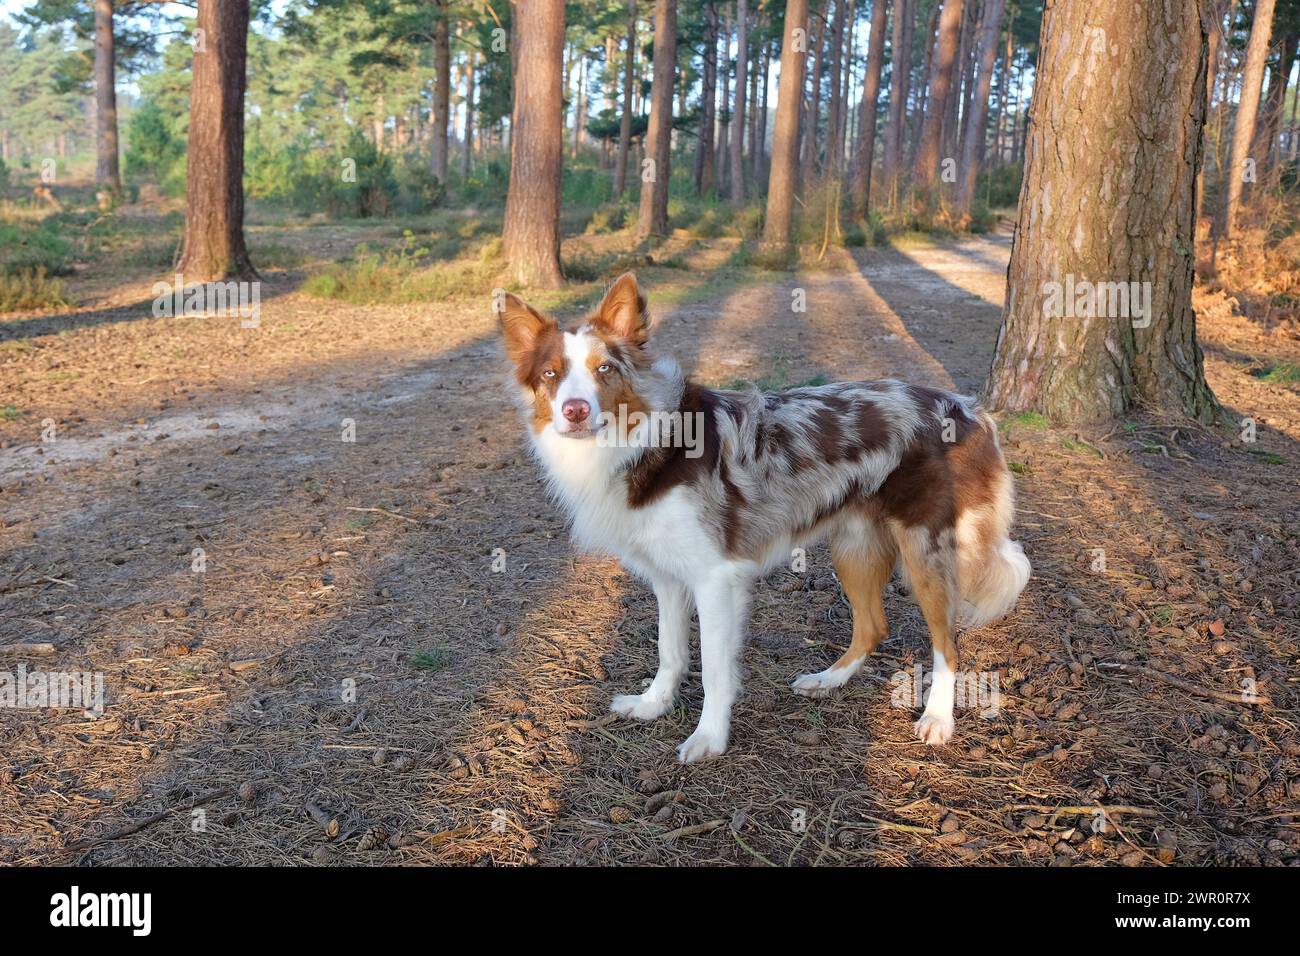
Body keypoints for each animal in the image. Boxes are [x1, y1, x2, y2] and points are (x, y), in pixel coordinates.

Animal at [493, 274, 1024, 764]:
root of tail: (970, 408)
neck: (645, 442)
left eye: (603, 369)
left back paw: (937, 717)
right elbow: (669, 650)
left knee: (948, 641)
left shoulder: (714, 578)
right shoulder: (668, 575)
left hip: (925, 549)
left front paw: (709, 738)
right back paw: (827, 680)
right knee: (873, 625)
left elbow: (713, 668)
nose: (575, 411)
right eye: (550, 374)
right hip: (853, 545)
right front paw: (653, 705)